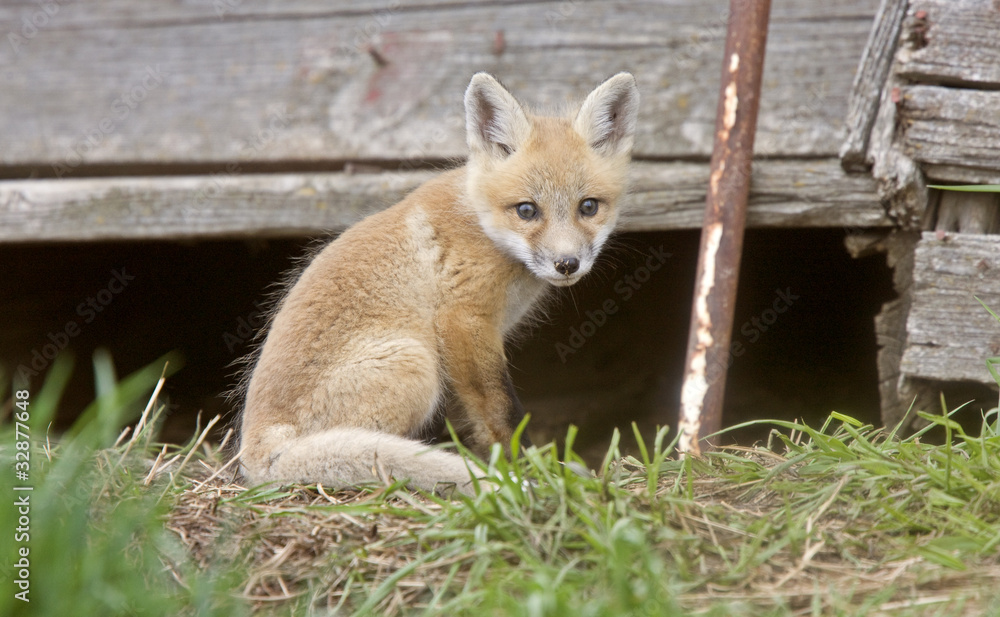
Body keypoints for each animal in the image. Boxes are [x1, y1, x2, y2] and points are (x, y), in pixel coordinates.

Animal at [239, 72, 640, 494]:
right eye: (527, 210)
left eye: (588, 207)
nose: (567, 264)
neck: (483, 227)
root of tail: (255, 453)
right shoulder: (464, 321)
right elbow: (501, 411)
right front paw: (529, 469)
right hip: (415, 362)